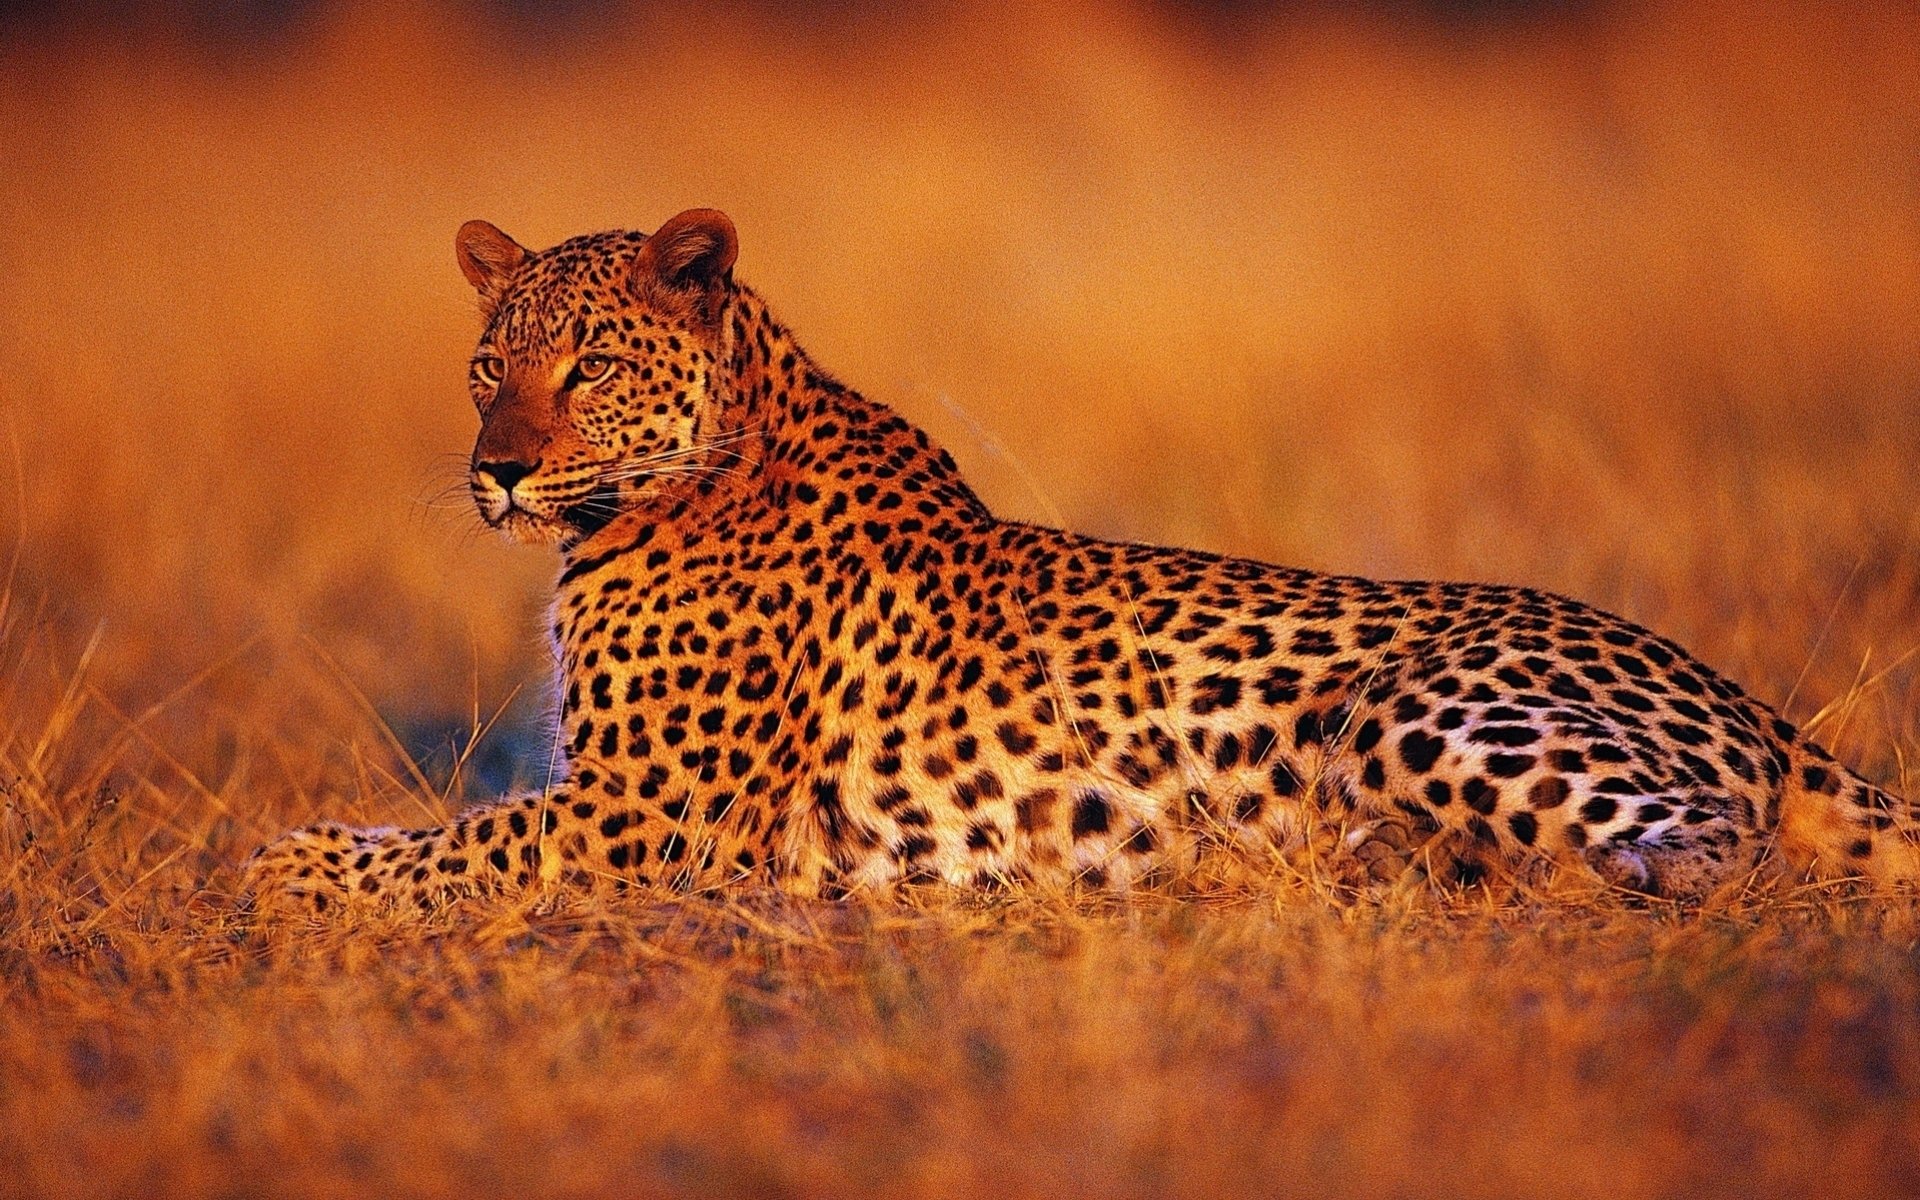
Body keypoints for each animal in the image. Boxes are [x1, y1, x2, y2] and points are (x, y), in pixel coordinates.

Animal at [242, 207, 1918, 916]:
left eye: (584, 365)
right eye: (486, 367)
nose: (494, 470)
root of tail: (1754, 704)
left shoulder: (649, 814)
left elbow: (450, 848)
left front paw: (281, 864)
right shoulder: (612, 798)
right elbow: (448, 831)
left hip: (1411, 707)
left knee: (1712, 855)